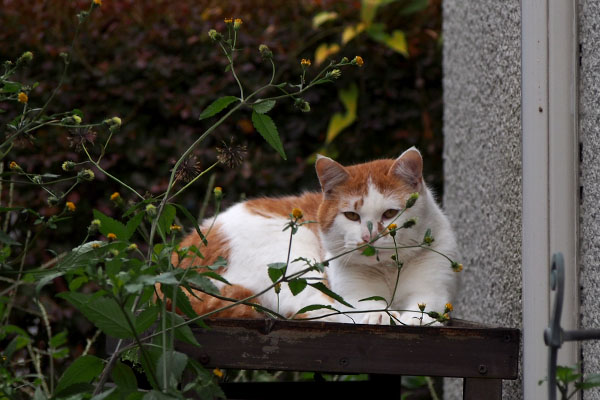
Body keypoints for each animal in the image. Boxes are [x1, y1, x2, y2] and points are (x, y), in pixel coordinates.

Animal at [171, 147, 458, 324]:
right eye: (351, 216)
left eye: (389, 214)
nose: (370, 237)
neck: (388, 271)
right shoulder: (351, 294)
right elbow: (363, 307)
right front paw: (379, 316)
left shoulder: (431, 291)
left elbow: (423, 308)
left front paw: (414, 318)